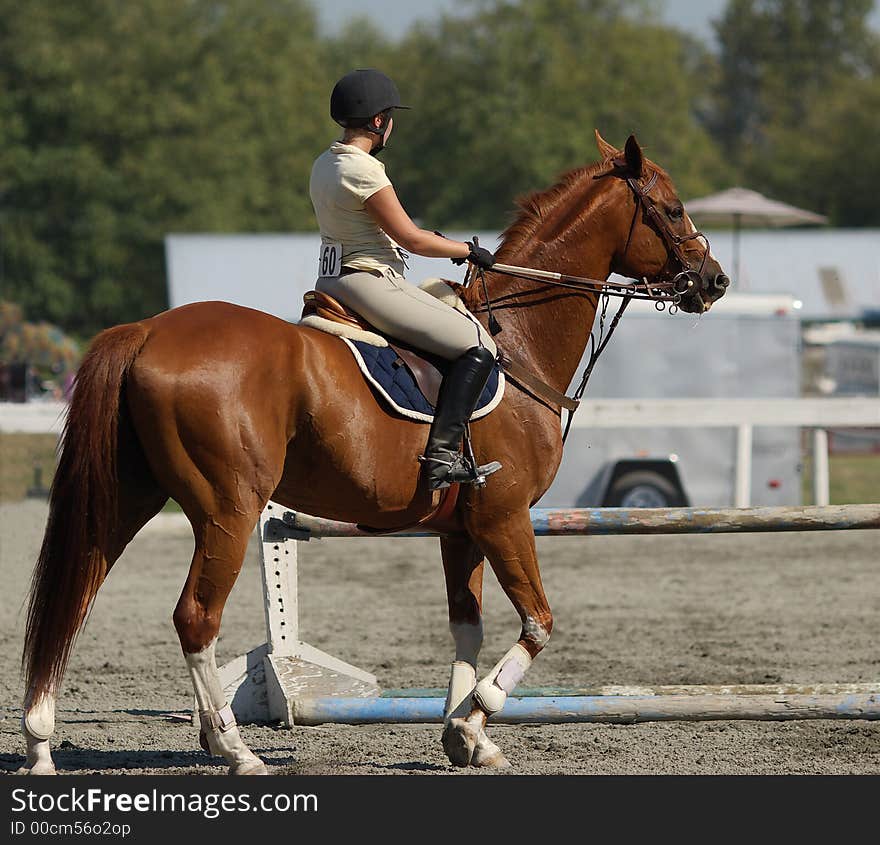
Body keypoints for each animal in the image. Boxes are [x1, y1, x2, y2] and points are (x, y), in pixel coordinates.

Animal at [18, 132, 728, 772]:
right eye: (670, 209)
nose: (714, 281)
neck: (518, 339)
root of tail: (146, 331)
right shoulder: (505, 517)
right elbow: (539, 621)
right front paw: (476, 715)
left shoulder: (463, 528)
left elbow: (465, 625)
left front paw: (463, 736)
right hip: (228, 509)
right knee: (195, 616)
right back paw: (235, 749)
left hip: (129, 496)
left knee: (76, 594)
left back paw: (40, 745)